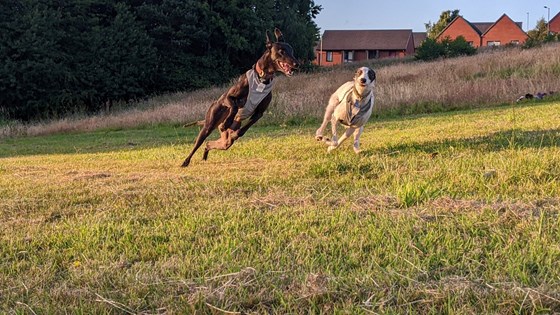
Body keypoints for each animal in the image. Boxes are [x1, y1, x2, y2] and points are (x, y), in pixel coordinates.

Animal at [183, 28, 298, 168]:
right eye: (281, 51)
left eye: (292, 50)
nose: (297, 64)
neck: (262, 79)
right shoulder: (228, 97)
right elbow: (234, 105)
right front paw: (227, 121)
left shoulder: (259, 113)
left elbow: (243, 129)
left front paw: (235, 133)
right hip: (208, 125)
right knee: (198, 143)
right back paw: (186, 161)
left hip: (225, 141)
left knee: (210, 143)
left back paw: (206, 155)